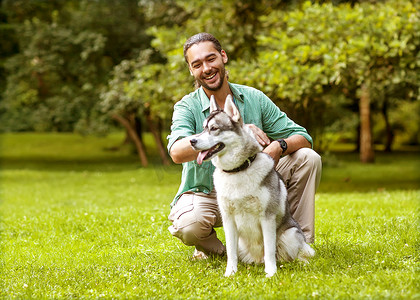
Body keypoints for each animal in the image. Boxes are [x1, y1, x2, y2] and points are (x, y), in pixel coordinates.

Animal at [190, 95, 316, 278]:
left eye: (214, 128)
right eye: (203, 128)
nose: (191, 141)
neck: (237, 171)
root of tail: (257, 260)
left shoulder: (267, 217)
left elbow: (269, 250)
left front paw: (271, 273)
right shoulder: (228, 219)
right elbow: (231, 252)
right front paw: (230, 272)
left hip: (290, 234)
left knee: (295, 254)